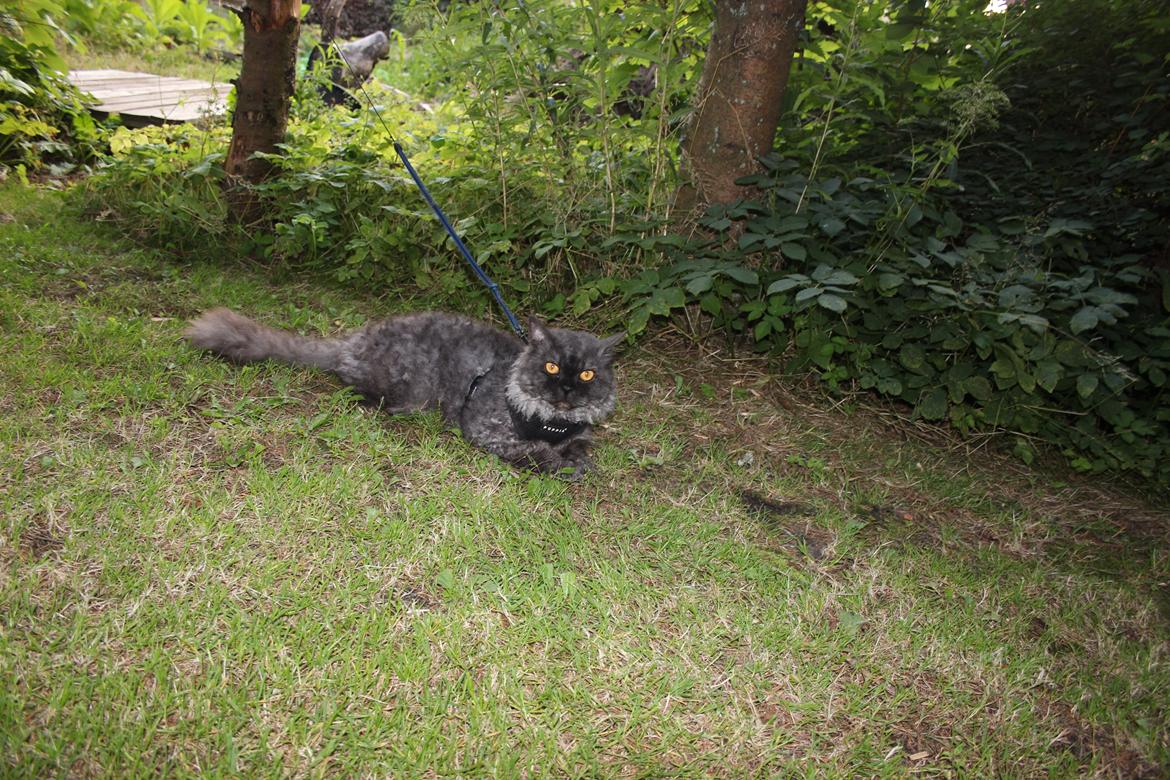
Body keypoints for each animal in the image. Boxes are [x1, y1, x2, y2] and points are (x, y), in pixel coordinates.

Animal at [182, 308, 622, 479]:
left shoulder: (577, 432)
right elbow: (534, 452)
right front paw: (560, 464)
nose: (566, 388)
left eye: (587, 373)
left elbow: (580, 446)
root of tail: (349, 343)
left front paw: (576, 459)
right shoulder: (488, 431)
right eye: (551, 366)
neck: (552, 421)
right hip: (405, 384)